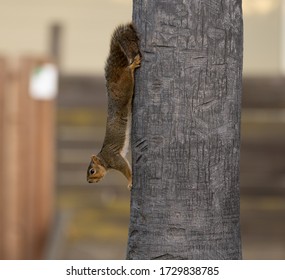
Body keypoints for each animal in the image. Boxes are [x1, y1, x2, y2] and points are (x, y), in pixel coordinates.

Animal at [86, 22, 140, 190]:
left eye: (91, 171)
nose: (89, 182)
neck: (104, 158)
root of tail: (112, 84)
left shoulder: (114, 158)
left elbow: (125, 168)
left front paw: (130, 182)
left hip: (125, 88)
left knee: (128, 73)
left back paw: (132, 65)